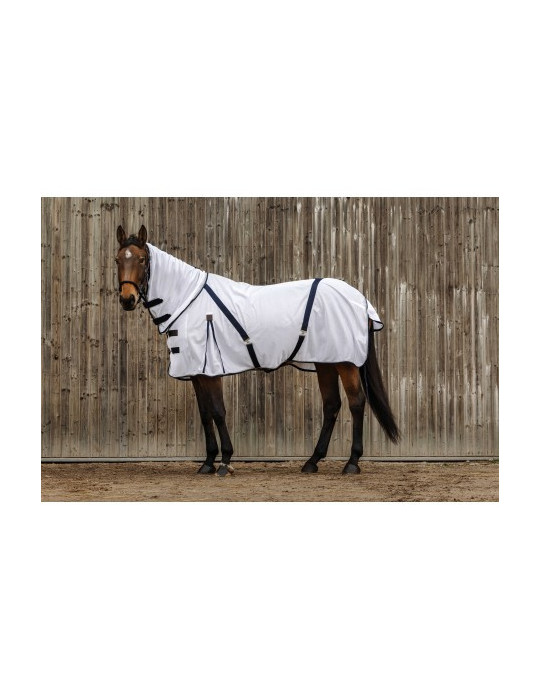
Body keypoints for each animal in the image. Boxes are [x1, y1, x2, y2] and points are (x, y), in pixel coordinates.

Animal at [115, 224, 399, 476]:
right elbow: (205, 414)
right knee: (331, 405)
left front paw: (225, 462)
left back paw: (352, 463)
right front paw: (207, 462)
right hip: (325, 362)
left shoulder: (211, 371)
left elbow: (218, 411)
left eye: (142, 259)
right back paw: (312, 461)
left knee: (356, 402)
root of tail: (360, 299)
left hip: (346, 363)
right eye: (118, 259)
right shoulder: (197, 372)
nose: (127, 299)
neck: (189, 302)